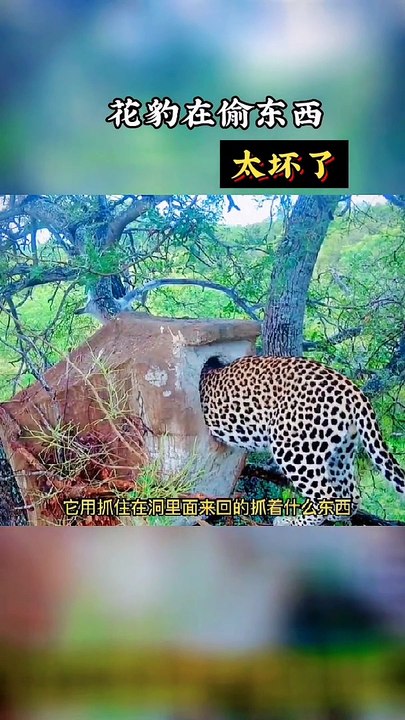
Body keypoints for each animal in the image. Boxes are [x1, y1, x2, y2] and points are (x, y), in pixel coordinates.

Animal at [199, 355, 405, 525]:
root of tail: (352, 389)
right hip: (341, 454)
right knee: (352, 497)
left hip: (294, 450)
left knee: (326, 497)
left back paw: (288, 522)